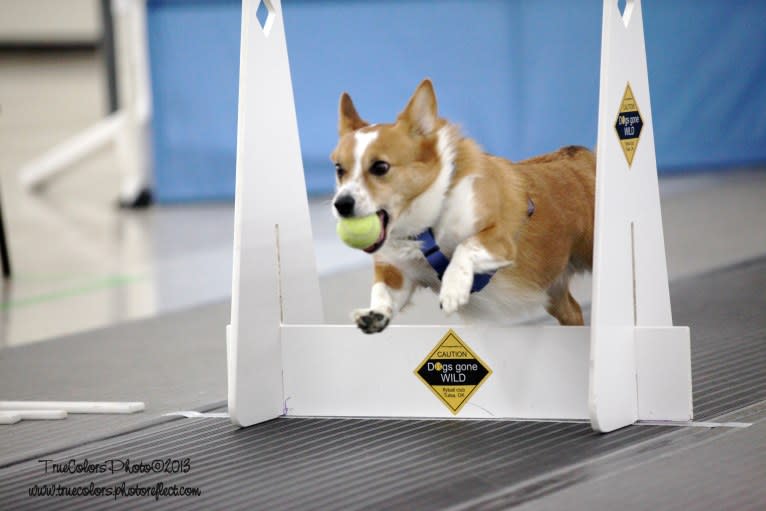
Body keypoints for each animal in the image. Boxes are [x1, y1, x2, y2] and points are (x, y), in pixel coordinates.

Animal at [332, 80, 596, 334]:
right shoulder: (398, 273)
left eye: (380, 167)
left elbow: (465, 247)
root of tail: (584, 155)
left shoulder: (500, 240)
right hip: (553, 290)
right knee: (573, 311)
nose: (341, 204)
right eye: (339, 169)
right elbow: (382, 292)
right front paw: (374, 315)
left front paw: (452, 289)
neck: (427, 224)